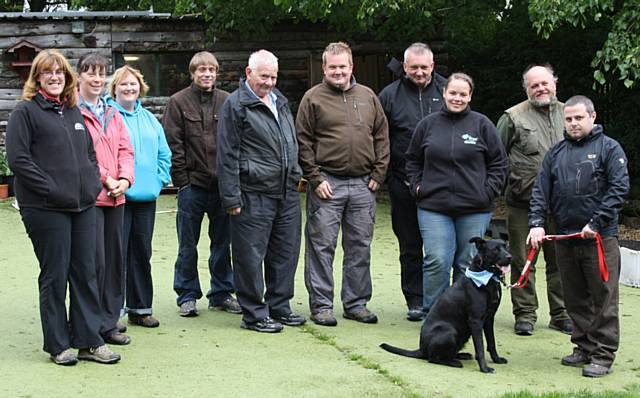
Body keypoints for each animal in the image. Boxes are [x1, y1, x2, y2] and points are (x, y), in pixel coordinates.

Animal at [382, 236, 512, 374]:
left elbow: (491, 343)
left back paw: (461, 355)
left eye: (505, 246)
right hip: (449, 332)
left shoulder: (489, 318)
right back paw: (454, 362)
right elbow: (480, 348)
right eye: (495, 250)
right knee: (432, 358)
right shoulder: (476, 321)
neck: (487, 277)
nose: (510, 257)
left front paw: (497, 359)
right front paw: (484, 368)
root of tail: (421, 349)